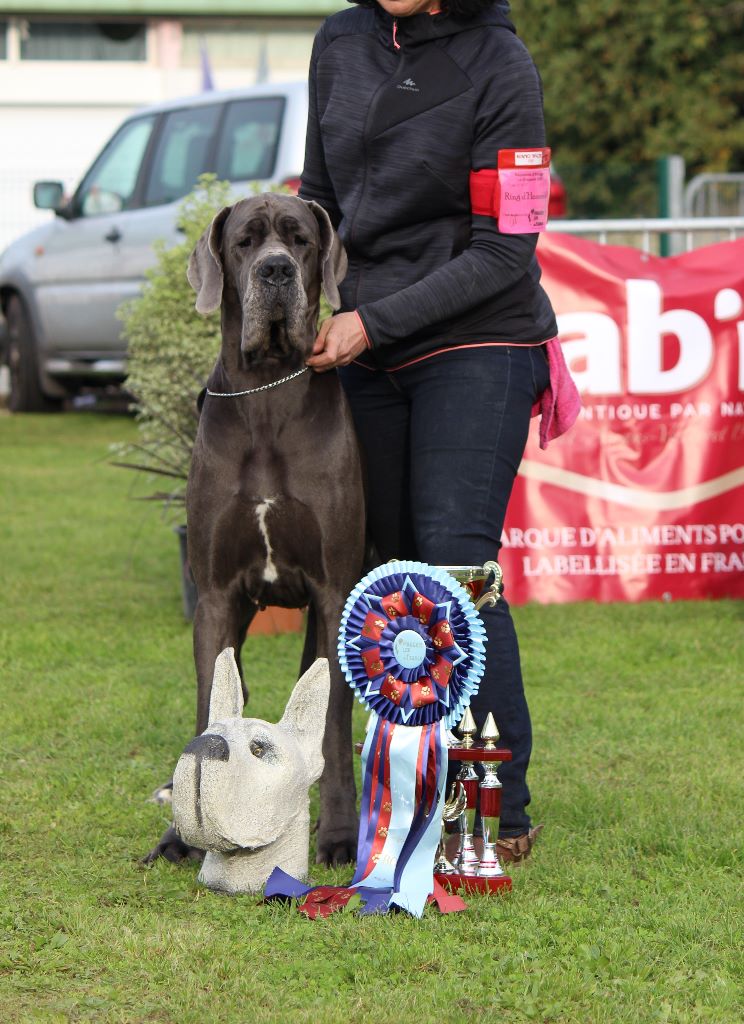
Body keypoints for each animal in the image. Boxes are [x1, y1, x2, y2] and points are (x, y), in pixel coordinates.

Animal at [146, 192, 366, 864]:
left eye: (300, 241)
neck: (268, 395)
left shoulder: (333, 591)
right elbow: (209, 706)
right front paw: (182, 833)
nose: (275, 271)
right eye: (245, 242)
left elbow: (332, 724)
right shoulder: (216, 595)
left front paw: (340, 833)